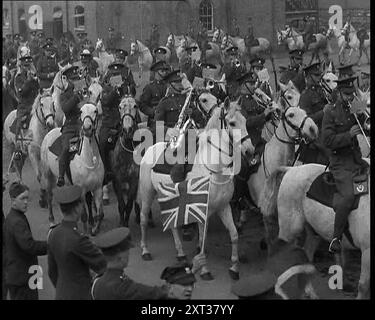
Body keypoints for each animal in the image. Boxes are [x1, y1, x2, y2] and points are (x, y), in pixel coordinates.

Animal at [40, 104, 105, 234]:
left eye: (95, 111)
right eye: (81, 111)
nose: (87, 128)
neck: (88, 159)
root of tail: (49, 133)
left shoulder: (98, 188)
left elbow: (99, 213)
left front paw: (94, 228)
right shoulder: (81, 190)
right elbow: (84, 214)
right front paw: (85, 232)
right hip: (48, 176)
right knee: (49, 197)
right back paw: (52, 221)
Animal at [138, 97, 256, 280]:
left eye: (245, 120)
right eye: (232, 122)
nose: (250, 151)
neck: (214, 169)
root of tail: (150, 149)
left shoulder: (224, 207)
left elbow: (234, 235)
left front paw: (234, 268)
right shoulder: (201, 211)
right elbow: (202, 239)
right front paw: (205, 270)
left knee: (172, 225)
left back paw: (180, 253)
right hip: (147, 194)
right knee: (143, 219)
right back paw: (145, 250)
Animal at [262, 160, 372, 300]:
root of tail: (291, 170)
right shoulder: (367, 251)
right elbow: (364, 286)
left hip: (313, 232)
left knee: (306, 257)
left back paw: (310, 292)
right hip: (289, 231)